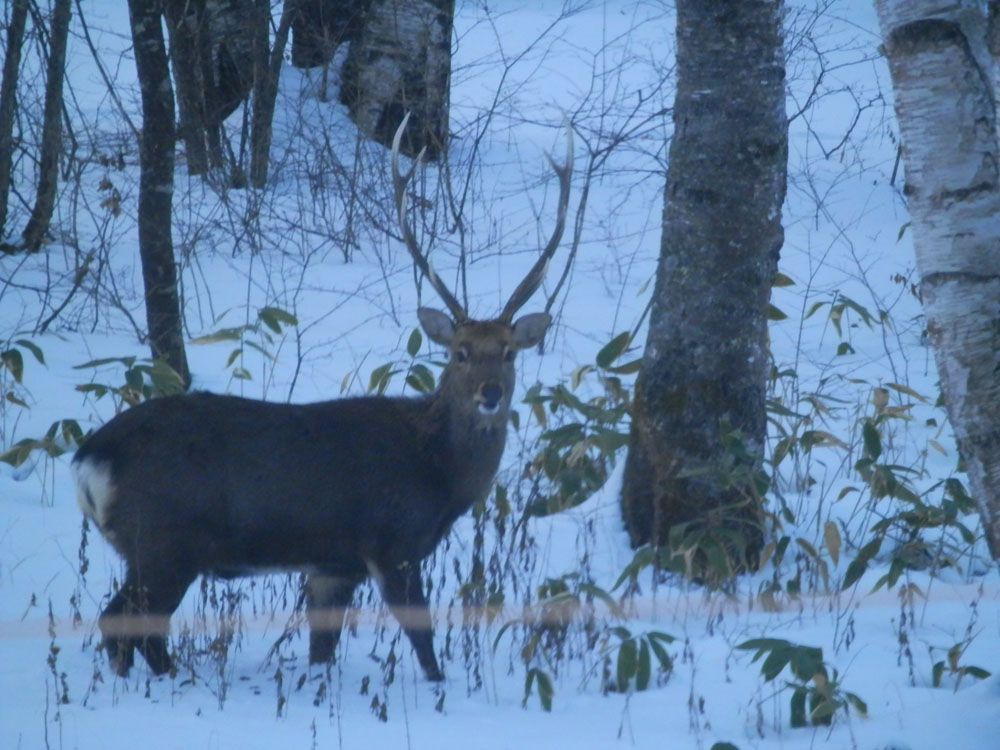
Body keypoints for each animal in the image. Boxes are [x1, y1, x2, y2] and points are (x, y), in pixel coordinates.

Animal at [72, 114, 572, 682]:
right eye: (461, 352)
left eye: (509, 352)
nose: (491, 392)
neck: (439, 474)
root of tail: (90, 458)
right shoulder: (393, 542)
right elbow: (423, 639)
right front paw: (440, 688)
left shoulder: (334, 565)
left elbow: (322, 647)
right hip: (162, 538)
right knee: (123, 622)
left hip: (155, 547)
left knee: (133, 627)